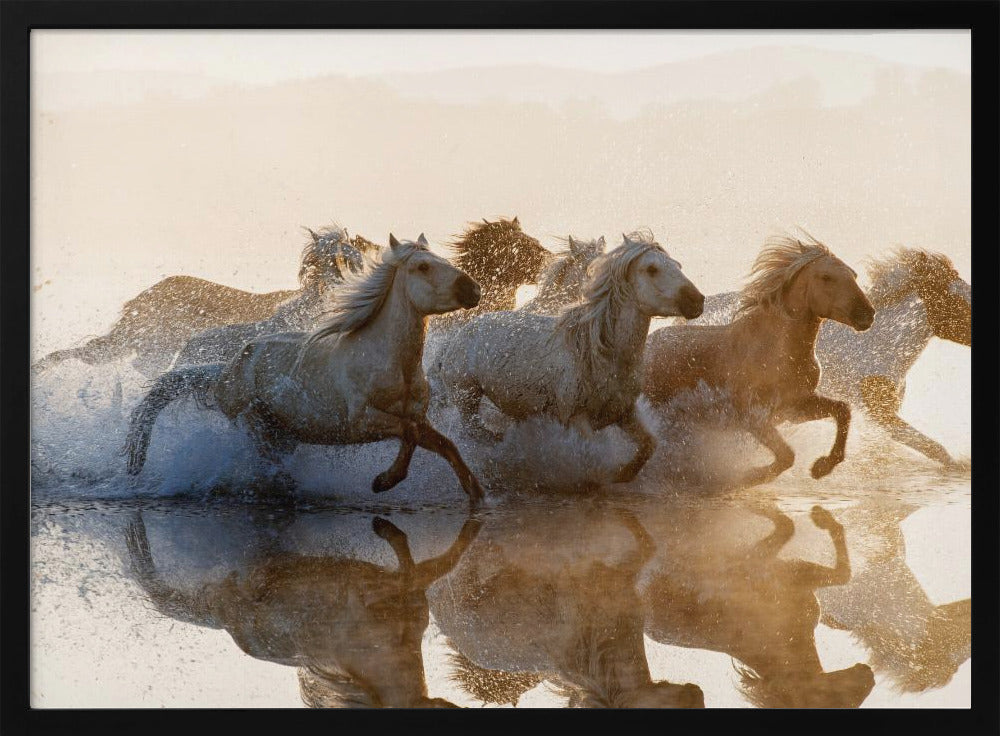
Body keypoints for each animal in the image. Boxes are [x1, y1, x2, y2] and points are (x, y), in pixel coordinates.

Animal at [437, 232, 704, 484]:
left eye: (678, 265)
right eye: (651, 269)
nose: (697, 301)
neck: (598, 353)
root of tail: (466, 328)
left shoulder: (624, 412)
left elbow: (649, 445)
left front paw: (621, 474)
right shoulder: (577, 418)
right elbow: (595, 456)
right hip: (467, 396)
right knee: (474, 432)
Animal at [642, 232, 875, 488]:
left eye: (853, 275)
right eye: (826, 277)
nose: (867, 313)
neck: (779, 352)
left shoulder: (794, 408)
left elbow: (843, 410)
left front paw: (822, 466)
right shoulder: (753, 417)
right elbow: (787, 456)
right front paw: (751, 475)